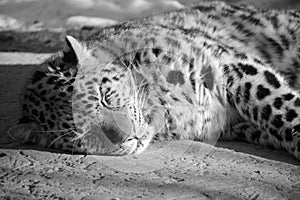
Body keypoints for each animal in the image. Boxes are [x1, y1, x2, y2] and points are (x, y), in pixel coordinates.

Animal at [7, 0, 300, 159]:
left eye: (104, 95)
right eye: (85, 132)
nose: (129, 136)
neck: (166, 107)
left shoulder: (227, 66)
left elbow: (280, 106)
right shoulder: (230, 124)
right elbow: (276, 123)